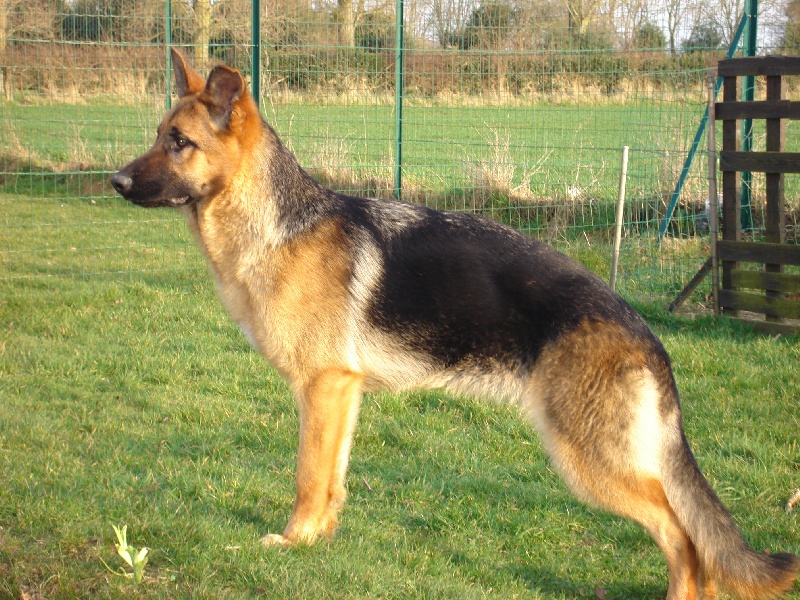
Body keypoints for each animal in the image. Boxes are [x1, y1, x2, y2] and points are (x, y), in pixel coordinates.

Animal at [114, 52, 800, 600]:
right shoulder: (341, 395)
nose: (116, 181)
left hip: (588, 460)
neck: (276, 225)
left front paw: (294, 540)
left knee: (683, 536)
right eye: (158, 136)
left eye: (179, 142)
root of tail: (640, 329)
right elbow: (332, 478)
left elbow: (308, 476)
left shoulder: (322, 387)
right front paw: (320, 542)